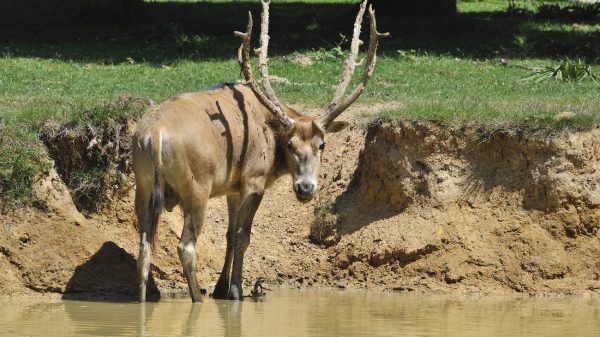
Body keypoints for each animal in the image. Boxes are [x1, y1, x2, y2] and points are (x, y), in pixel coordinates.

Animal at [131, 0, 386, 302]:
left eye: (322, 145)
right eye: (289, 144)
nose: (306, 188)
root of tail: (155, 134)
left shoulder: (232, 186)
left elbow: (230, 233)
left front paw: (220, 287)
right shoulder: (254, 177)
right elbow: (244, 235)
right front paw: (235, 290)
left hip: (142, 184)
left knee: (144, 246)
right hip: (197, 186)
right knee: (186, 246)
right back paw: (197, 298)